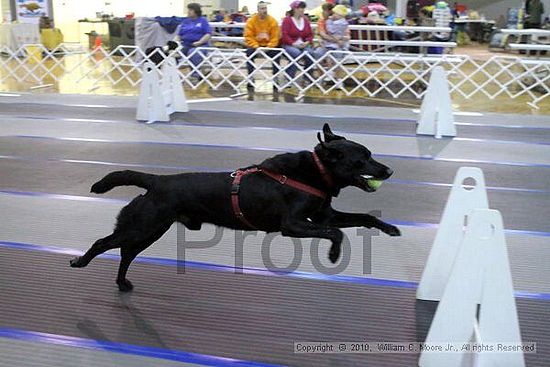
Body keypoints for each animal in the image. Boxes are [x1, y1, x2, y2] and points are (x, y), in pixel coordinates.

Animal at [71, 125, 404, 292]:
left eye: (370, 154)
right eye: (362, 159)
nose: (388, 170)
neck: (314, 173)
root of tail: (156, 180)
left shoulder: (325, 215)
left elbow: (363, 218)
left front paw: (389, 228)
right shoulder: (292, 225)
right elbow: (336, 233)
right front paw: (334, 255)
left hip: (149, 230)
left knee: (126, 253)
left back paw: (121, 283)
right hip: (143, 225)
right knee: (104, 243)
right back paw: (80, 262)